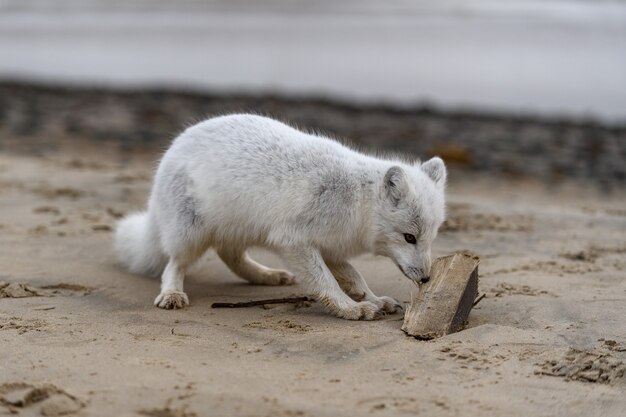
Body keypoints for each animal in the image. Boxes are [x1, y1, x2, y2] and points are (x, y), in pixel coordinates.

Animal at [112, 115, 444, 320]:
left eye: (430, 237)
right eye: (409, 237)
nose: (426, 278)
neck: (357, 200)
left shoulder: (330, 247)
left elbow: (355, 277)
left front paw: (372, 300)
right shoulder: (294, 241)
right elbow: (326, 283)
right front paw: (351, 309)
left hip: (243, 229)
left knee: (230, 255)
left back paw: (266, 276)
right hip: (190, 232)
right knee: (175, 263)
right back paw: (172, 293)